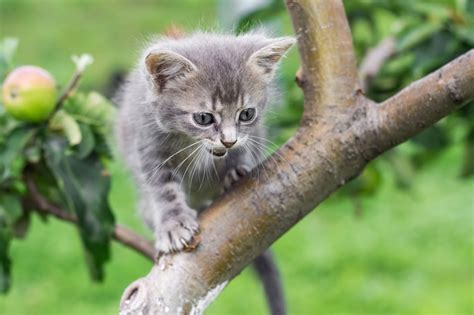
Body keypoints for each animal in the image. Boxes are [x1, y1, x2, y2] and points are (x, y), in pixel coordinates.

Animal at [115, 31, 292, 254]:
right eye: (203, 118)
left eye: (247, 114)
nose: (228, 141)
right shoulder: (148, 143)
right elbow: (164, 189)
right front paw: (173, 224)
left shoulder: (250, 135)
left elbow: (244, 149)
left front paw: (236, 169)